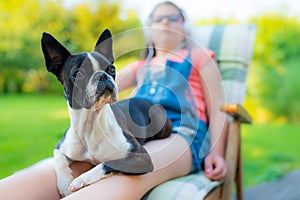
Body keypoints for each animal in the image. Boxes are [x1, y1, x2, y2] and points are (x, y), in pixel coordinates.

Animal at [41, 28, 172, 196]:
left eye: (112, 69)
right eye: (78, 74)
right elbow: (59, 160)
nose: (103, 75)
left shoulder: (140, 157)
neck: (90, 125)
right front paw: (64, 183)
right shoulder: (60, 147)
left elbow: (108, 163)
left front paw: (81, 178)